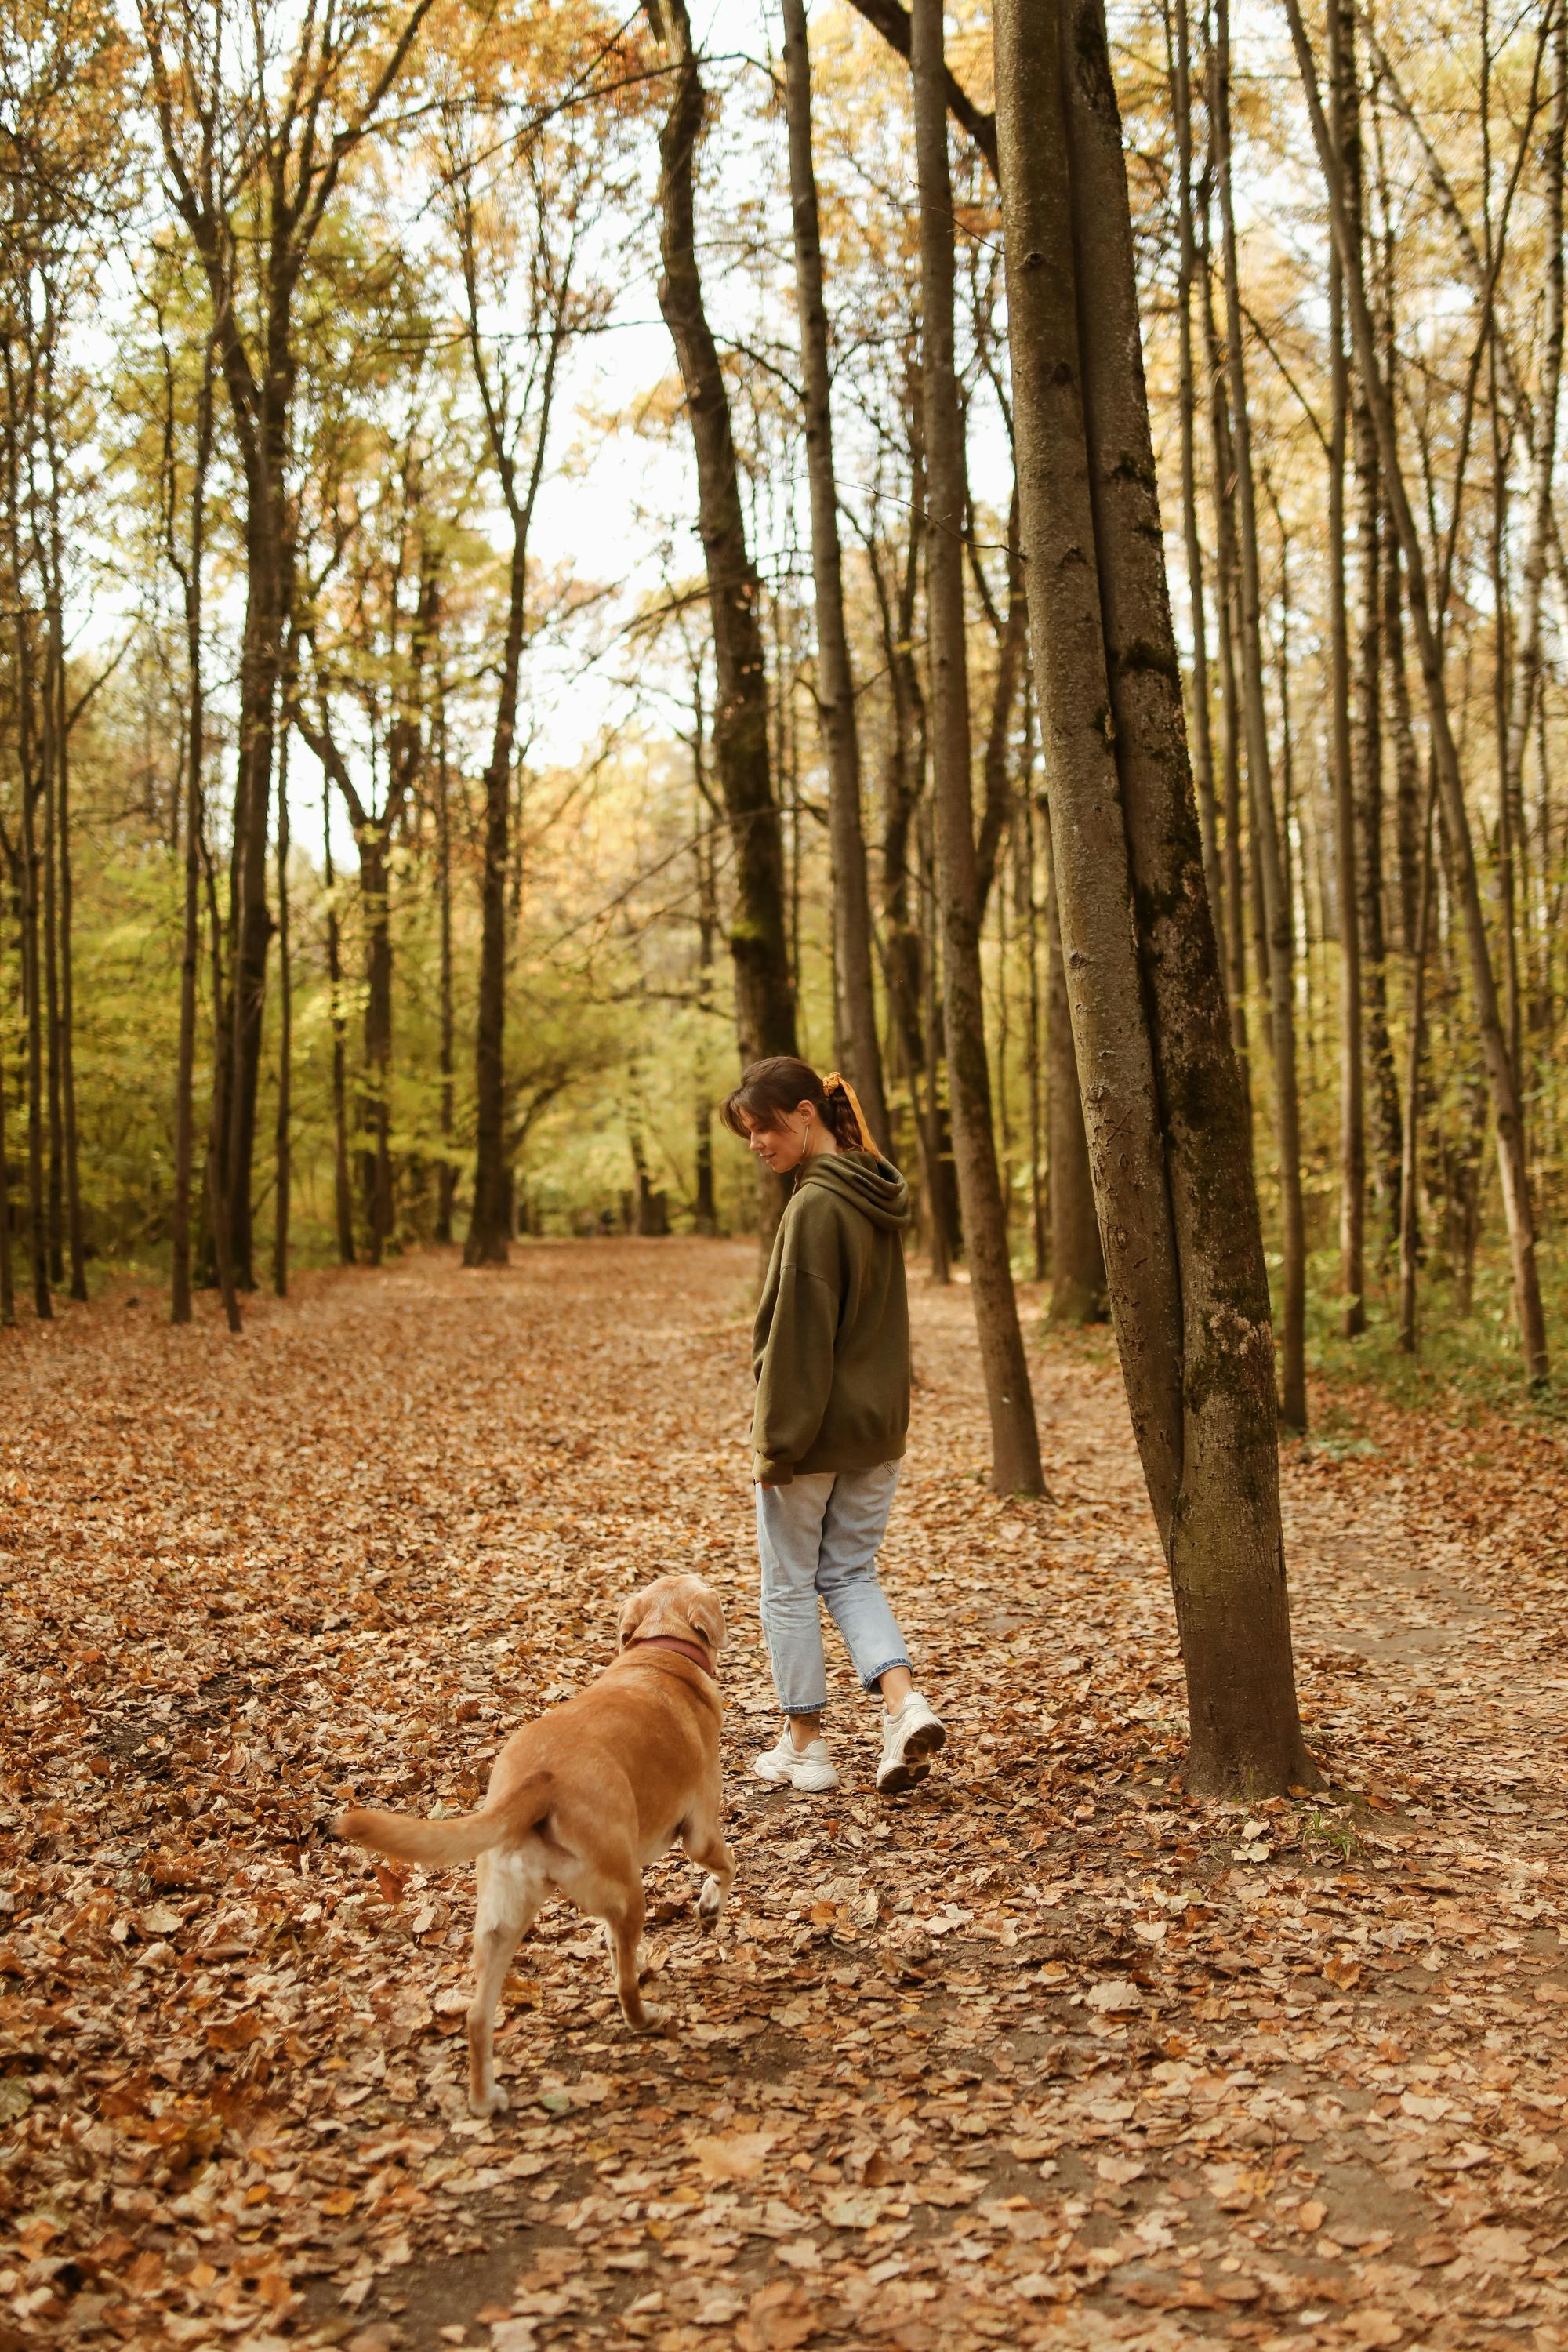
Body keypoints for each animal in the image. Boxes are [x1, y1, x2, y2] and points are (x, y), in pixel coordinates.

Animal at [333, 1581, 738, 2117]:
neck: (660, 1652)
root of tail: (539, 1780)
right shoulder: (700, 1831)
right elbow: (727, 1867)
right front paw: (710, 1908)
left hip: (501, 1923)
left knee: (477, 2017)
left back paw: (484, 2099)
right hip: (628, 1897)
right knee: (625, 1984)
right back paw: (647, 2019)